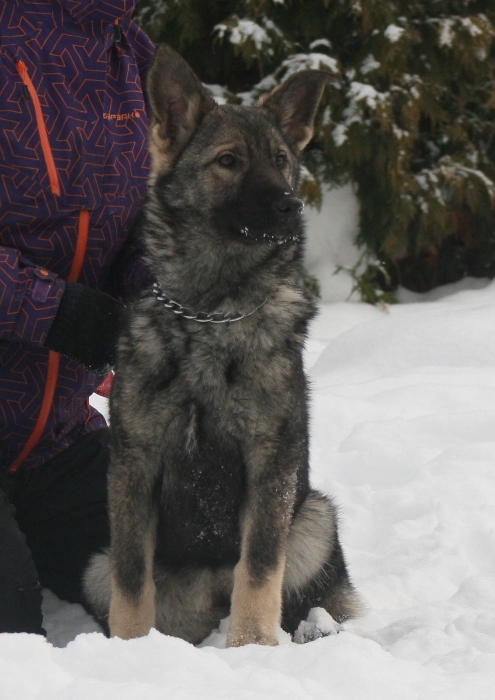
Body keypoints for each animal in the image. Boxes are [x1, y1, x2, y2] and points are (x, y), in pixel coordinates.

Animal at [83, 42, 362, 644]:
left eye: (281, 160)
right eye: (228, 161)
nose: (290, 206)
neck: (212, 315)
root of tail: (208, 603)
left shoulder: (270, 463)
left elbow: (258, 567)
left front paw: (252, 647)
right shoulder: (135, 466)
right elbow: (131, 580)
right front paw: (132, 650)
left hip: (315, 518)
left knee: (305, 597)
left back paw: (308, 633)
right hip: (94, 563)